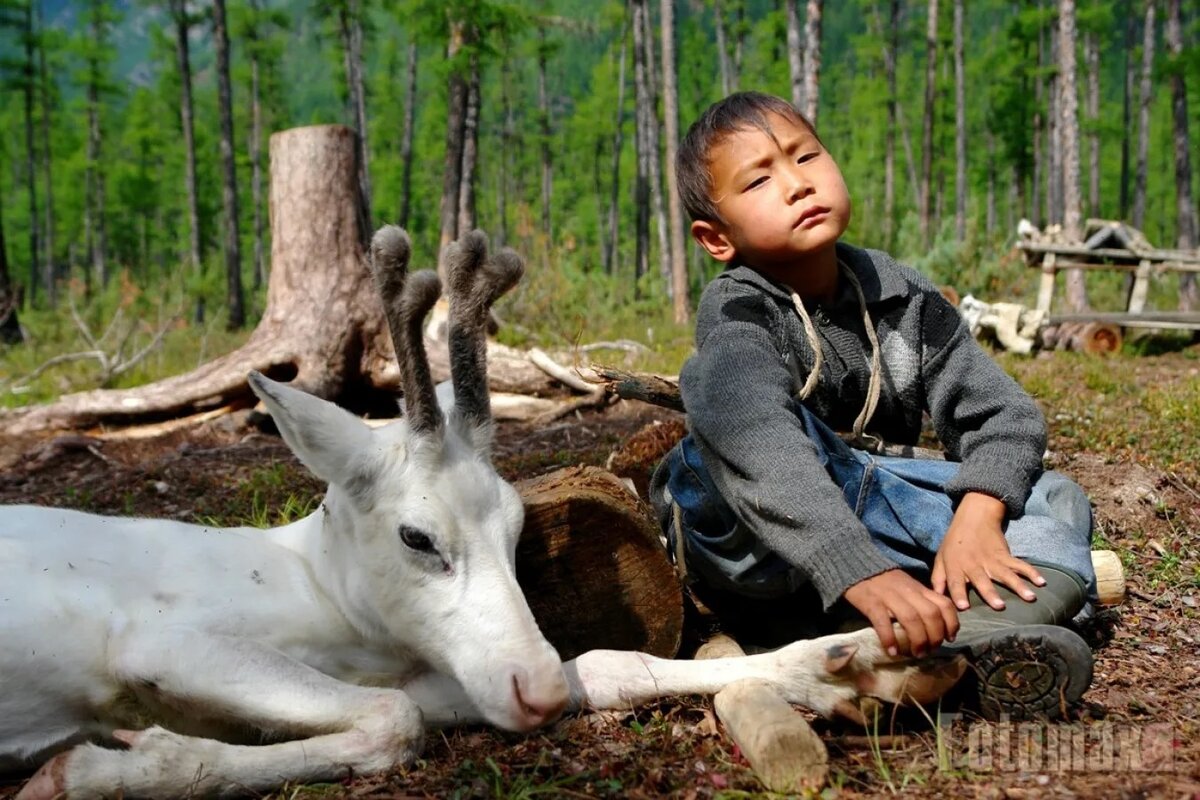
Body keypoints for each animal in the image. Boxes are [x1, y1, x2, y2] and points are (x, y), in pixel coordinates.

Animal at [0, 226, 955, 800]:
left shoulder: (444, 666)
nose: (536, 690)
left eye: (516, 527)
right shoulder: (157, 639)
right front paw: (97, 769)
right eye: (416, 536)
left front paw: (856, 666)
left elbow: (611, 664)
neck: (319, 598)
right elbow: (397, 721)